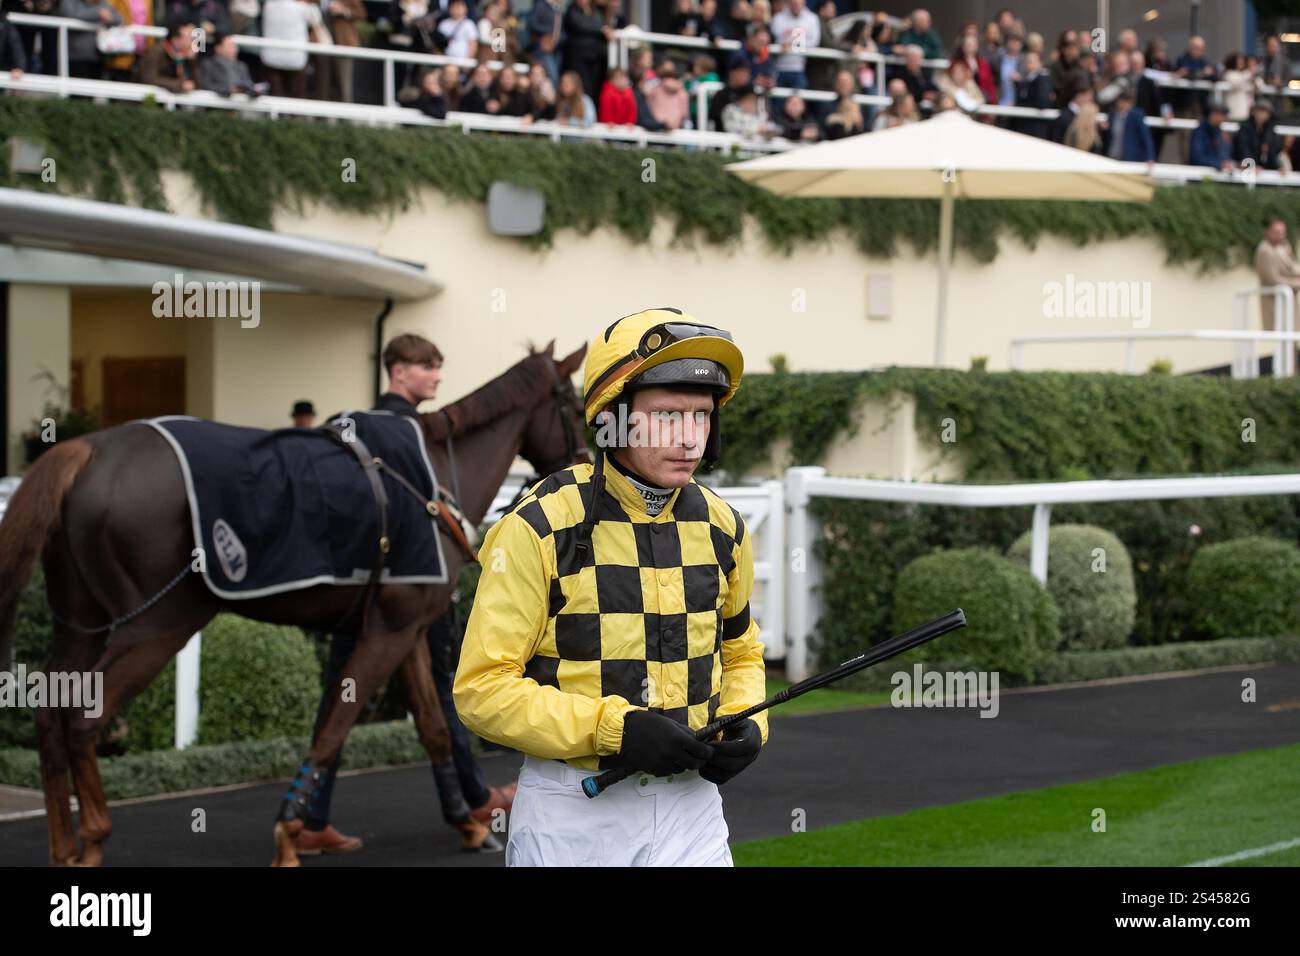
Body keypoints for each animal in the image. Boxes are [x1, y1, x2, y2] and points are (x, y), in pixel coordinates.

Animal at [0, 340, 590, 863]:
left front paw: (467, 821)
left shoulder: (407, 628)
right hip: (159, 623)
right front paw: (288, 832)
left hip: (80, 621)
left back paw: (64, 848)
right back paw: (94, 837)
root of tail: (87, 451)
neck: (432, 474)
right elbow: (334, 729)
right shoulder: (390, 629)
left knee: (49, 714)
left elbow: (432, 725)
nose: (584, 461)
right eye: (573, 402)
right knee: (85, 718)